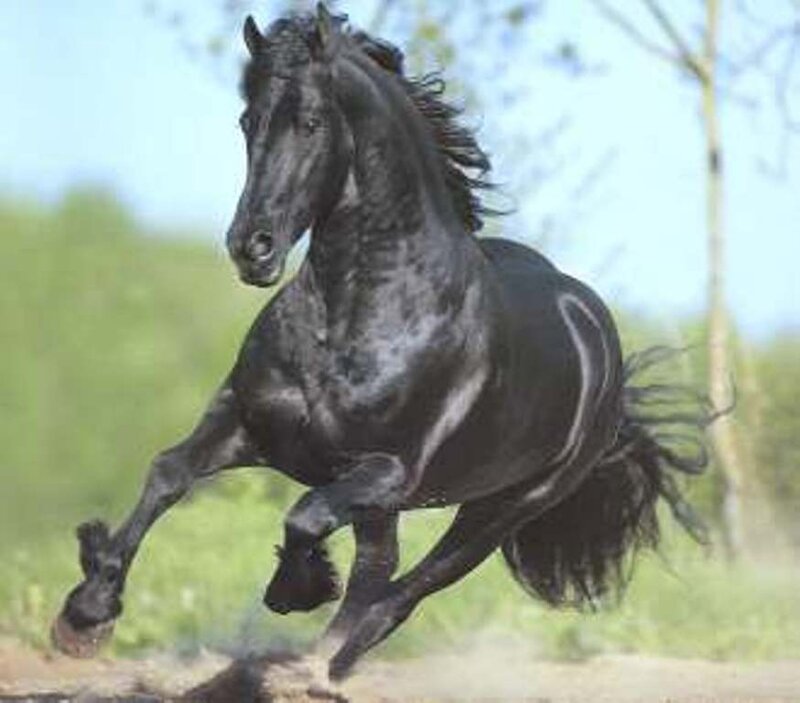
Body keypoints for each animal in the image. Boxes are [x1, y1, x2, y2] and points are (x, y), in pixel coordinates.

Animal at [52, 4, 714, 680]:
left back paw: (325, 664)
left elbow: (306, 516)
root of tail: (605, 357)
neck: (353, 317)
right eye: (247, 120)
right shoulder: (248, 424)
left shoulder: (386, 472)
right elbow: (169, 473)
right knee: (381, 568)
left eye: (311, 122)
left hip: (503, 508)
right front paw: (85, 615)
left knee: (404, 590)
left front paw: (296, 588)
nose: (251, 248)